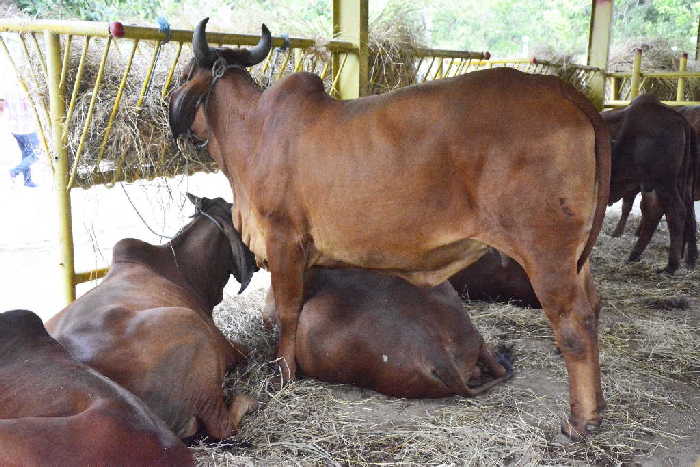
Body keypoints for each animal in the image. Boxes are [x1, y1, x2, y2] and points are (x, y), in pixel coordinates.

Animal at [600, 94, 696, 274]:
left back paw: (671, 266)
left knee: (674, 212)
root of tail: (678, 119)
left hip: (664, 183)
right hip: (678, 184)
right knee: (683, 213)